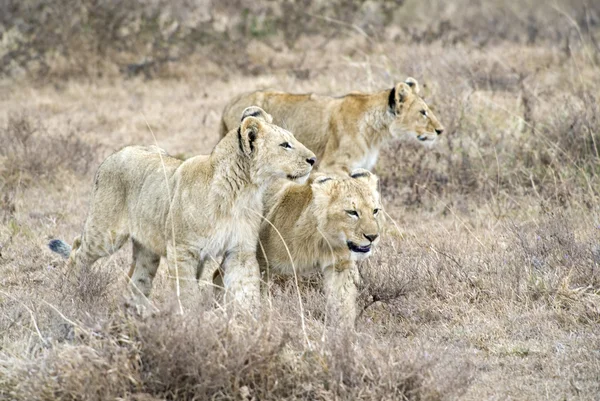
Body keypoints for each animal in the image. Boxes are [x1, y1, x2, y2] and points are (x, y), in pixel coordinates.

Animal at [48, 106, 316, 310]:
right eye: (285, 145)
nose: (313, 159)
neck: (242, 192)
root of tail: (115, 154)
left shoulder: (240, 250)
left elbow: (246, 291)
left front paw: (250, 325)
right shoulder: (183, 250)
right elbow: (188, 294)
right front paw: (193, 324)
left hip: (148, 250)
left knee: (137, 281)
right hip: (105, 234)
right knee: (77, 250)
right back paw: (71, 293)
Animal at [200, 169, 380, 324]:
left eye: (375, 211)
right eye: (352, 212)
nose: (373, 237)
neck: (323, 241)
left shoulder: (340, 266)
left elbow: (343, 304)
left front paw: (343, 335)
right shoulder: (261, 261)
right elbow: (254, 291)